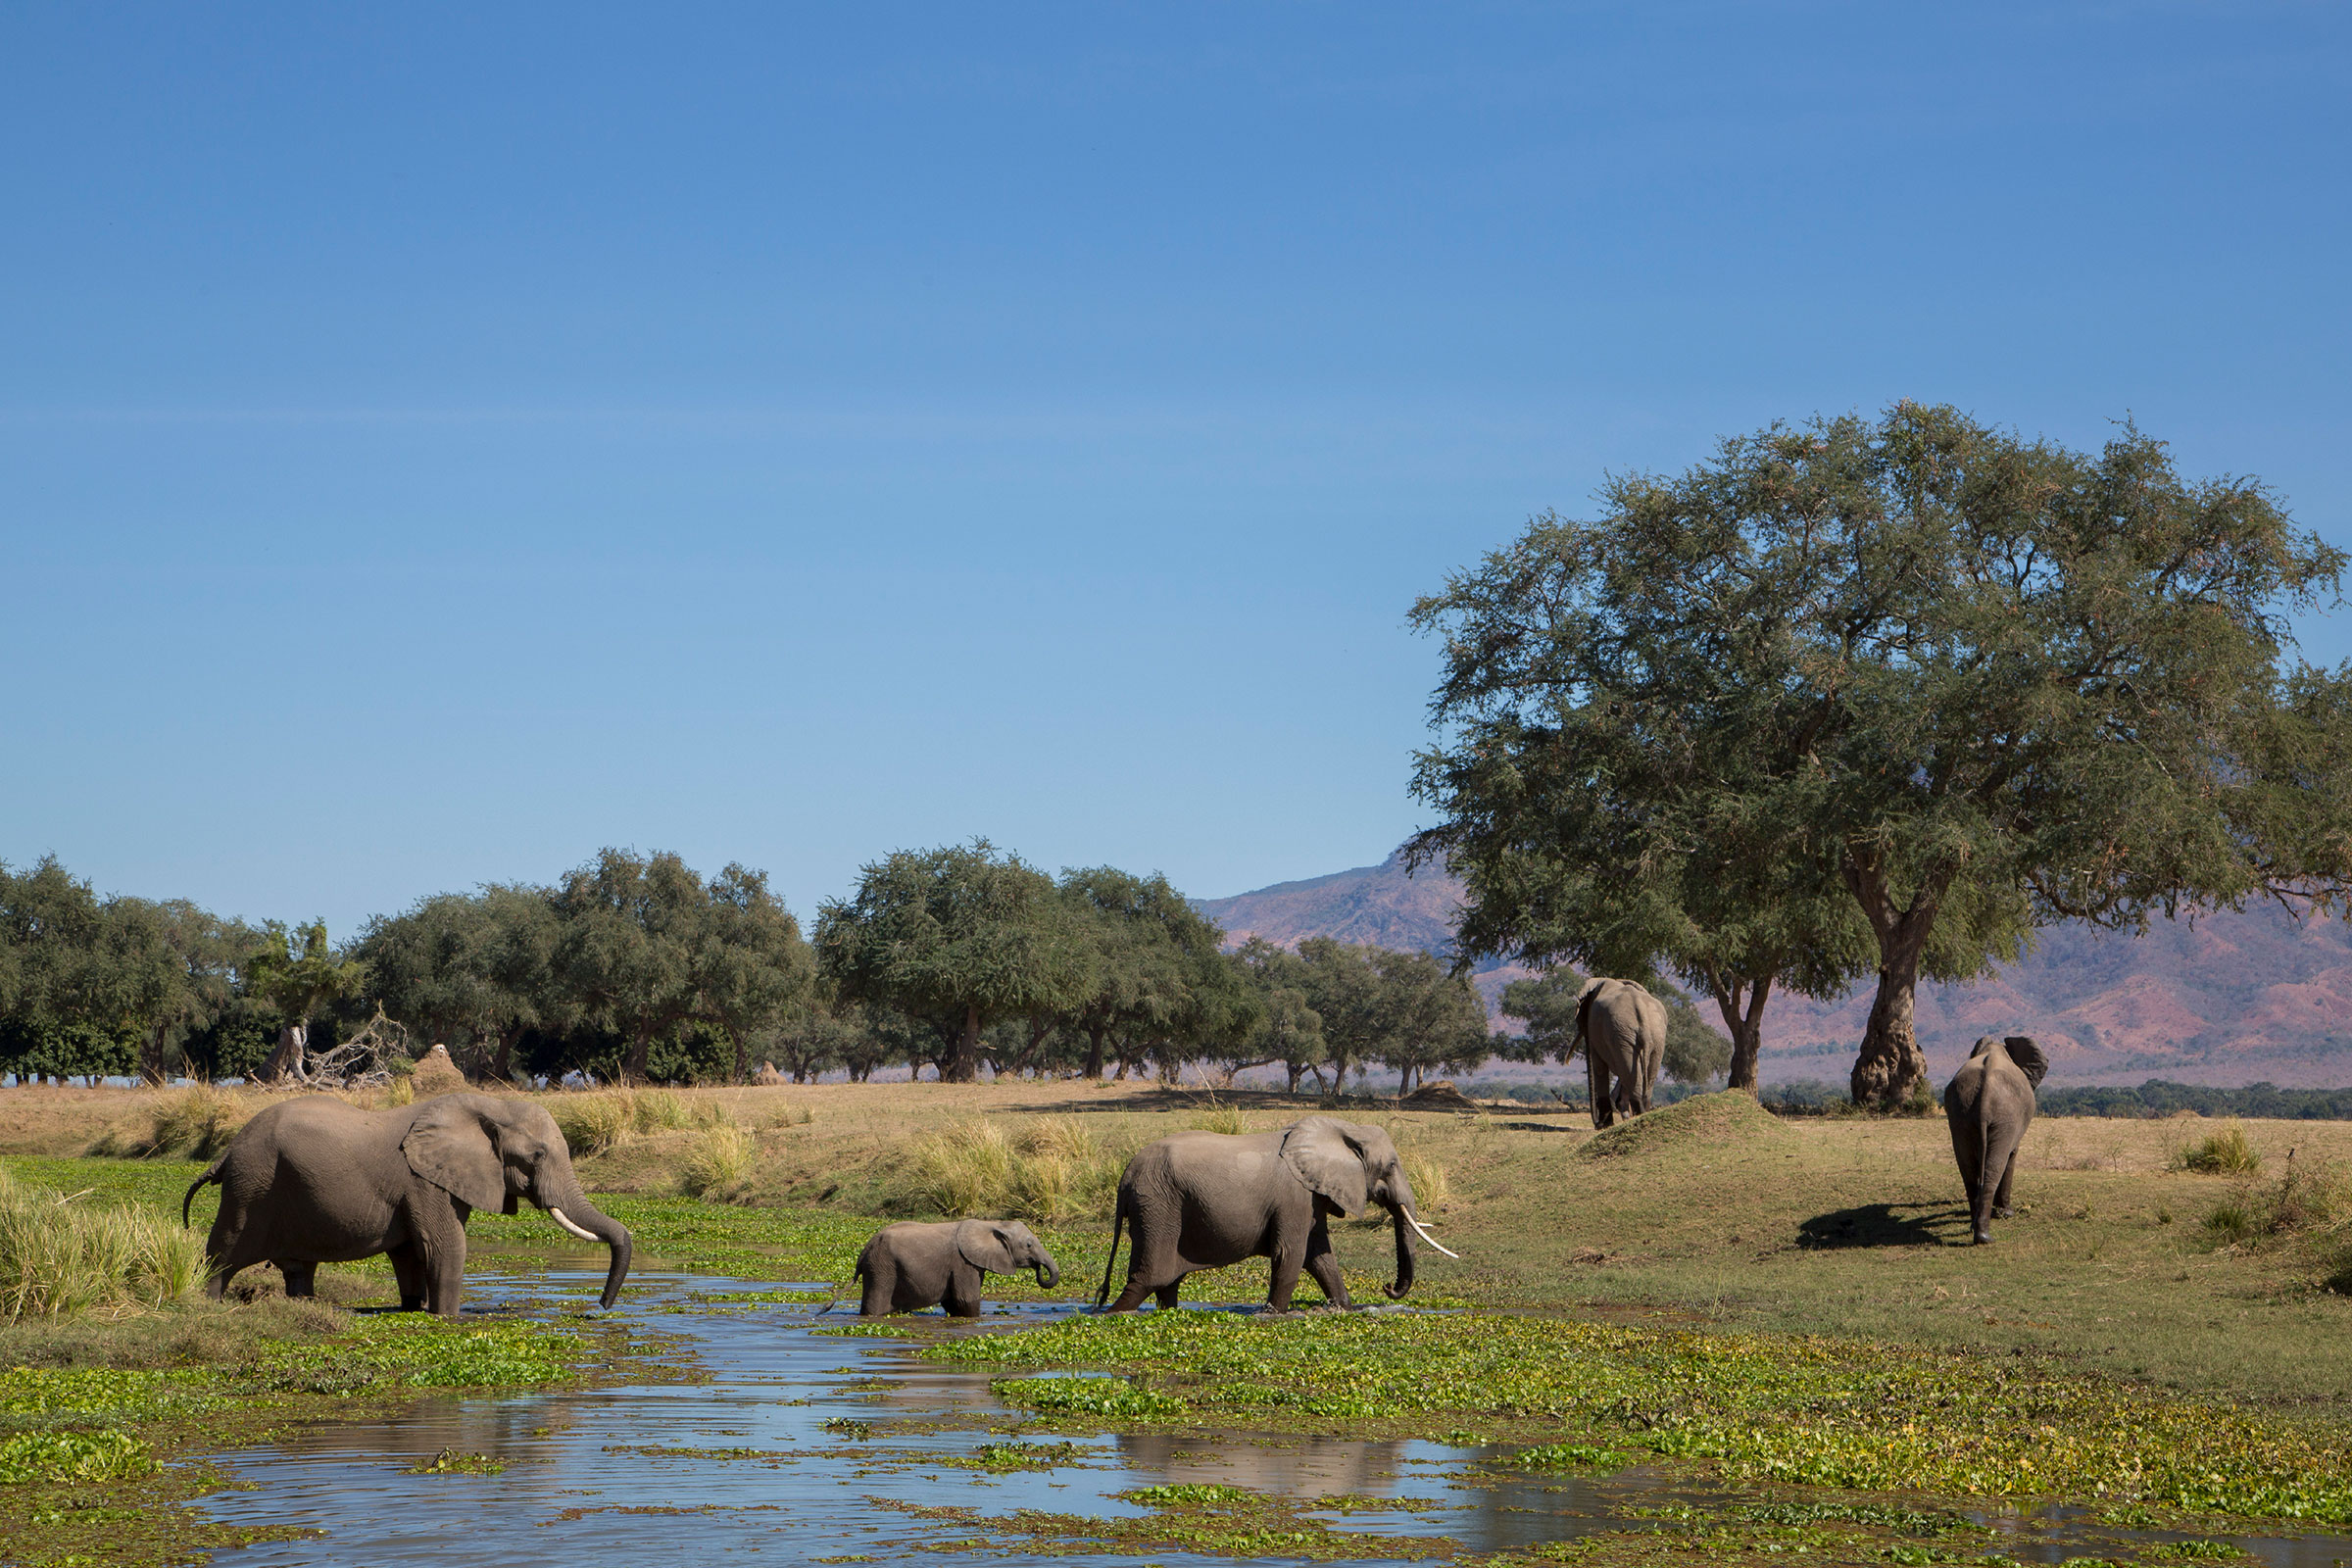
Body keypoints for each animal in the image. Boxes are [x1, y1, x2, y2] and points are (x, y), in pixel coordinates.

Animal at [183, 1091, 630, 1316]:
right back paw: (208, 1303)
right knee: (223, 1252)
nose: (600, 1308)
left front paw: (416, 1307)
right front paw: (447, 1318)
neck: (489, 1104)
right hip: (250, 1186)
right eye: (537, 1155)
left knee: (299, 1270)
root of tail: (226, 1151)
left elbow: (411, 1253)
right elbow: (445, 1247)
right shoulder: (425, 1183)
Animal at [851, 1222, 1062, 1316]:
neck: (993, 1224)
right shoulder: (963, 1264)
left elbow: (953, 1302)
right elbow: (965, 1300)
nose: (1038, 1268)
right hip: (881, 1268)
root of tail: (865, 1250)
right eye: (1028, 1245)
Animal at [1096, 1109, 1448, 1316]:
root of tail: (1125, 1178)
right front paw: (1272, 1315)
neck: (1342, 1128)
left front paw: (1344, 1309)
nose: (1388, 1287)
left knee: (1167, 1284)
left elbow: (1320, 1256)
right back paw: (1111, 1313)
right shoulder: (1295, 1197)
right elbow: (1291, 1254)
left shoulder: (1311, 1195)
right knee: (1147, 1280)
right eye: (1390, 1166)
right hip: (1157, 1208)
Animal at [1571, 982, 1665, 1128]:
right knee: (1647, 1078)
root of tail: (1641, 1011)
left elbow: (1599, 1067)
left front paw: (1605, 1125)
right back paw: (1641, 1114)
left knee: (1629, 1074)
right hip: (1655, 1037)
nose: (1597, 1124)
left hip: (1622, 1034)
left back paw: (1636, 1117)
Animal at [1937, 1034, 2050, 1241]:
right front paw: (2007, 1214)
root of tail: (1985, 1095)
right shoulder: (2013, 1124)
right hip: (2005, 1117)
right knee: (1995, 1166)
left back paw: (1974, 1229)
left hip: (1960, 1114)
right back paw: (1985, 1237)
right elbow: (2012, 1155)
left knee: (1968, 1169)